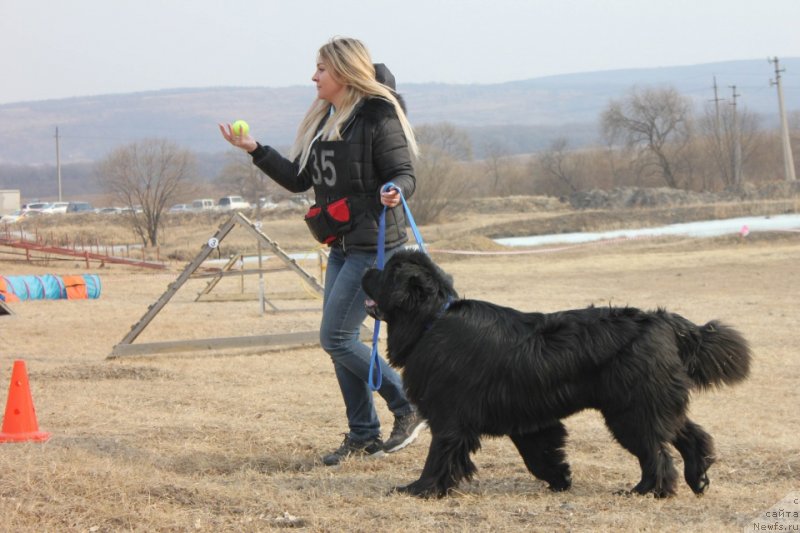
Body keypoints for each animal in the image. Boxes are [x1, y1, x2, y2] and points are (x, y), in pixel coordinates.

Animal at [362, 249, 752, 498]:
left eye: (386, 271)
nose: (365, 270)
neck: (431, 319)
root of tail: (665, 321)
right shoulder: (525, 415)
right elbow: (539, 452)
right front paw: (561, 478)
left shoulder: (449, 417)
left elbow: (439, 455)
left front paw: (420, 489)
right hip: (648, 401)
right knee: (687, 434)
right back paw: (698, 477)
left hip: (630, 410)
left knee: (656, 451)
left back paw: (647, 490)